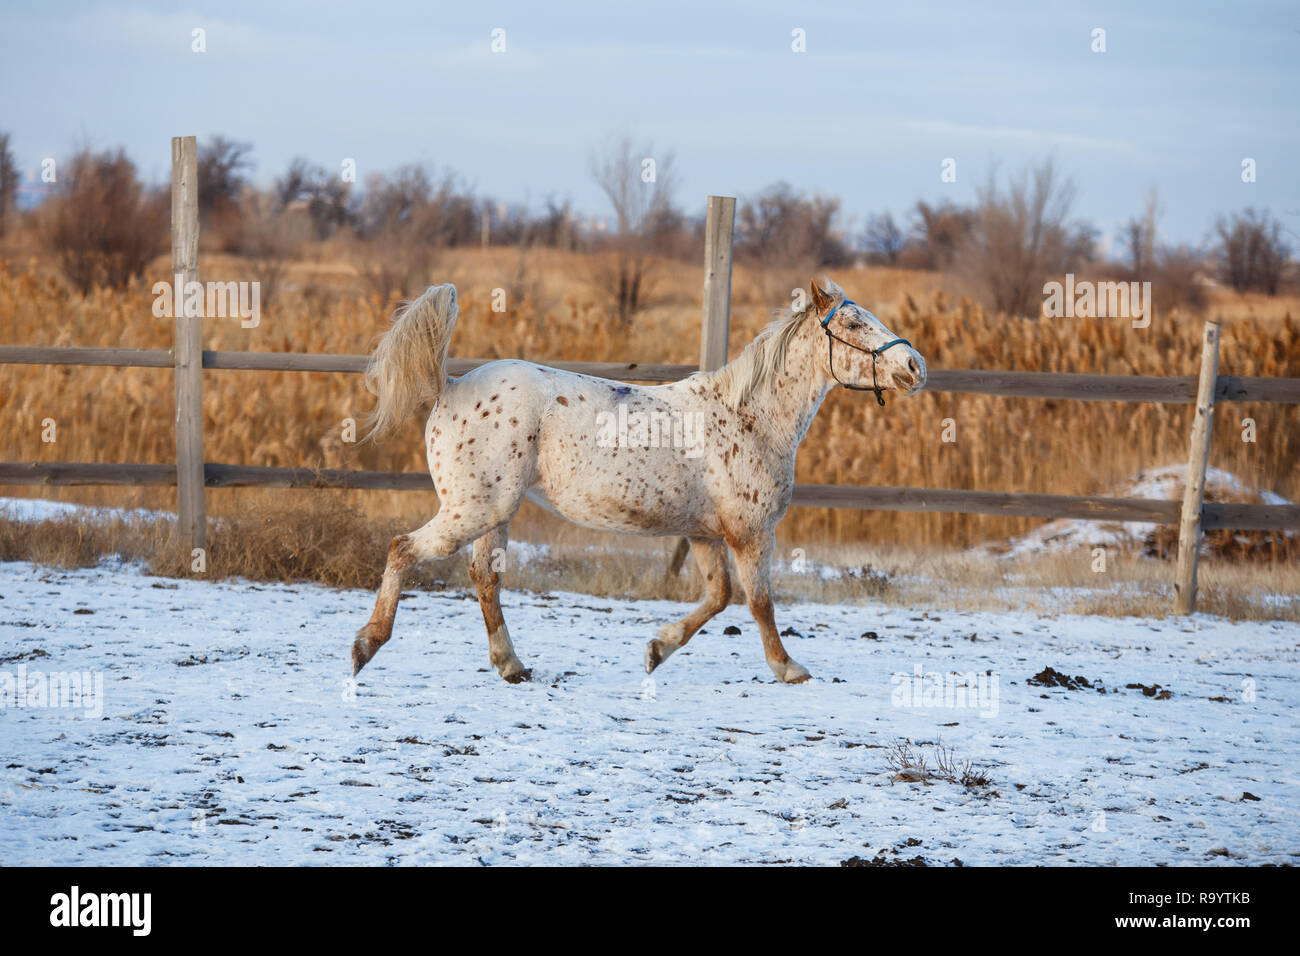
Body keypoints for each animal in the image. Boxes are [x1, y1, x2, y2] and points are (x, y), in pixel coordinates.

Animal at [351, 277, 930, 686]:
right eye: (852, 324)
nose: (914, 365)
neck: (750, 418)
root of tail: (450, 385)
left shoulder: (703, 533)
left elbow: (718, 597)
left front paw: (656, 650)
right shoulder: (749, 532)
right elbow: (760, 603)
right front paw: (789, 668)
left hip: (494, 513)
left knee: (484, 579)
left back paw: (512, 666)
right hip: (473, 509)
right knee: (403, 549)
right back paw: (365, 647)